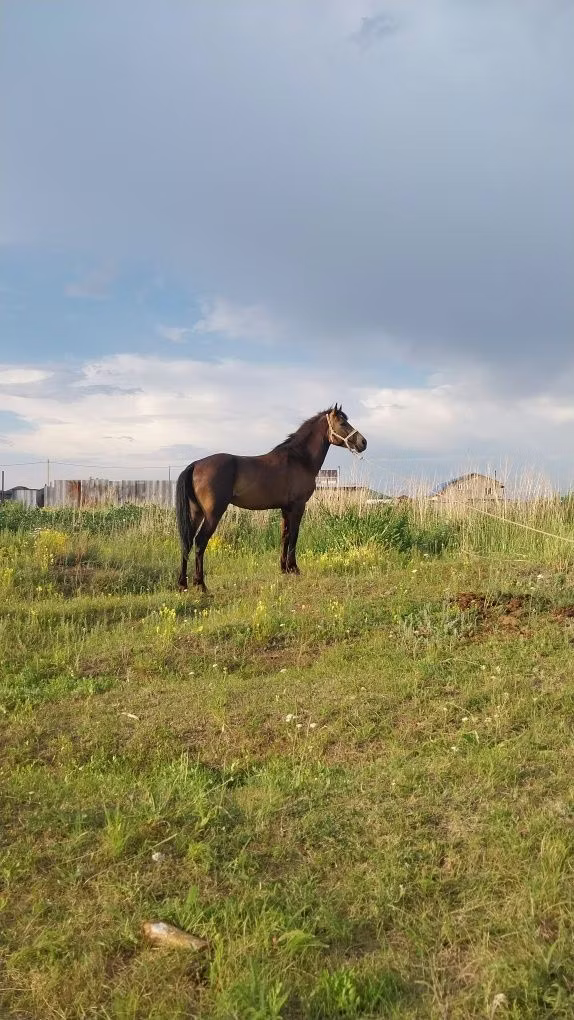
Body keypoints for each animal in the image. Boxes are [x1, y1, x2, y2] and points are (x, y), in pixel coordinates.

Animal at [175, 404, 367, 592]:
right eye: (342, 423)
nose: (363, 442)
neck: (299, 459)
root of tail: (196, 465)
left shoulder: (285, 509)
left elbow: (285, 536)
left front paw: (284, 569)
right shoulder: (298, 506)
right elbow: (294, 535)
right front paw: (294, 568)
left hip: (196, 513)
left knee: (187, 542)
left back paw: (183, 584)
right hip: (212, 514)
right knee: (200, 542)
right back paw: (200, 584)